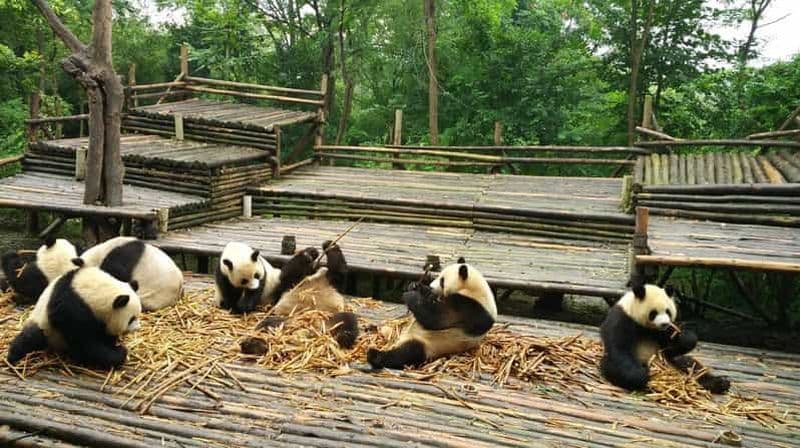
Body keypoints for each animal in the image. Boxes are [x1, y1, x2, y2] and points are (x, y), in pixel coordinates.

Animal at [6, 259, 142, 370]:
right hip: (44, 325)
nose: (137, 328)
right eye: (131, 319)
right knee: (30, 338)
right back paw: (13, 357)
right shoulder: (71, 309)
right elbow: (85, 343)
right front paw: (119, 352)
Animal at [367, 257, 496, 369]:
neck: (474, 290)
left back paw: (375, 356)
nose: (432, 287)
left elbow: (436, 318)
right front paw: (415, 286)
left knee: (407, 352)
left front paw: (411, 295)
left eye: (442, 281)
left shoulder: (469, 308)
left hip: (429, 344)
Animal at [600, 281, 730, 394]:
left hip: (674, 362)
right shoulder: (623, 319)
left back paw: (720, 383)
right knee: (611, 366)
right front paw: (642, 374)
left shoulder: (664, 332)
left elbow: (671, 348)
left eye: (668, 311)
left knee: (692, 365)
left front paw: (685, 337)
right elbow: (619, 349)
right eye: (653, 313)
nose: (664, 323)